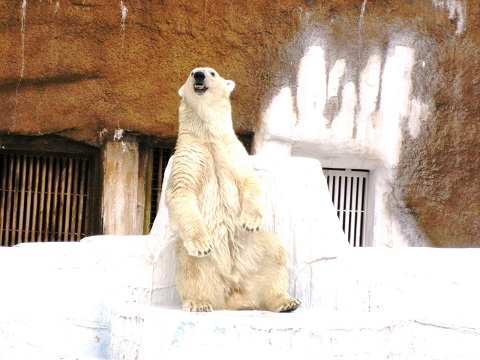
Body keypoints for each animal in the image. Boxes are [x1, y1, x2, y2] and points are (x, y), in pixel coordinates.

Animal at [165, 67, 300, 312]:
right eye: (191, 72)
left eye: (212, 72)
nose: (199, 75)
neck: (208, 136)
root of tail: (234, 293)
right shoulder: (188, 156)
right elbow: (181, 192)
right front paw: (202, 244)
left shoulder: (233, 152)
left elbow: (249, 182)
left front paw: (251, 221)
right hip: (197, 261)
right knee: (190, 266)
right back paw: (199, 302)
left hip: (256, 248)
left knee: (275, 251)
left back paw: (286, 301)